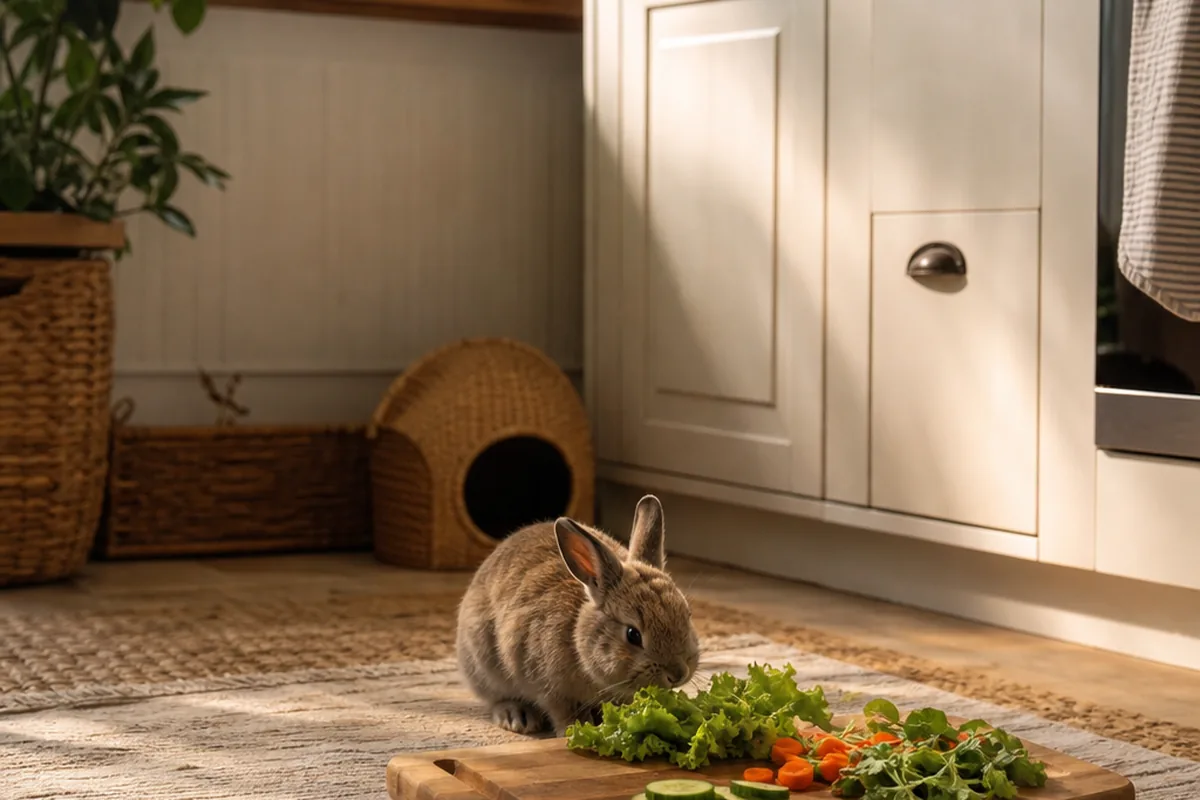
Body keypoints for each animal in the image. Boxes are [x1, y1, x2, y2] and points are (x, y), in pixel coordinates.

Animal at [455, 494, 701, 736]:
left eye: (687, 615)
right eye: (633, 634)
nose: (678, 674)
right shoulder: (551, 689)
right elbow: (563, 712)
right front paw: (574, 731)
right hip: (482, 665)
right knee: (497, 698)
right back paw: (517, 717)